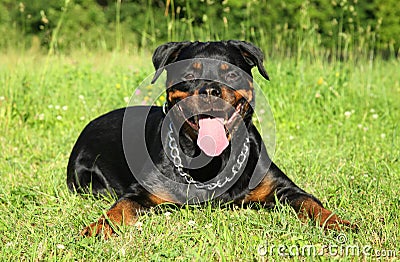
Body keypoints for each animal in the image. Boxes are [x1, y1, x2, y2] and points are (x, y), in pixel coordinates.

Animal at [68, 40, 354, 237]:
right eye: (189, 74)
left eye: (231, 73)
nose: (211, 90)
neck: (212, 159)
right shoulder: (141, 191)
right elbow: (119, 208)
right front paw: (97, 228)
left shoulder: (282, 188)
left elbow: (311, 203)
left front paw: (340, 223)